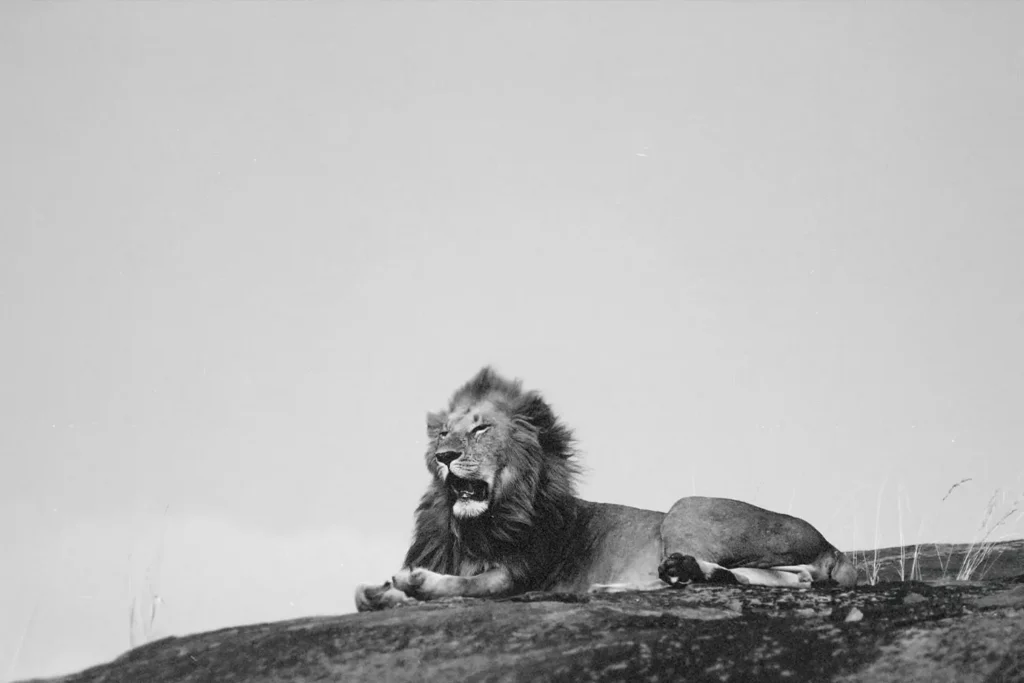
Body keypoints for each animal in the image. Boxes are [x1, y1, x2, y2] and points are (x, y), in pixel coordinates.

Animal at [355, 367, 857, 611]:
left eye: (480, 429)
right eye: (443, 434)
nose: (444, 456)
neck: (476, 528)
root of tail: (831, 544)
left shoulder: (519, 577)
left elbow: (470, 584)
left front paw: (416, 582)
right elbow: (363, 595)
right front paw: (383, 592)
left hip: (685, 508)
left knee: (798, 577)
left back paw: (653, 578)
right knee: (786, 577)